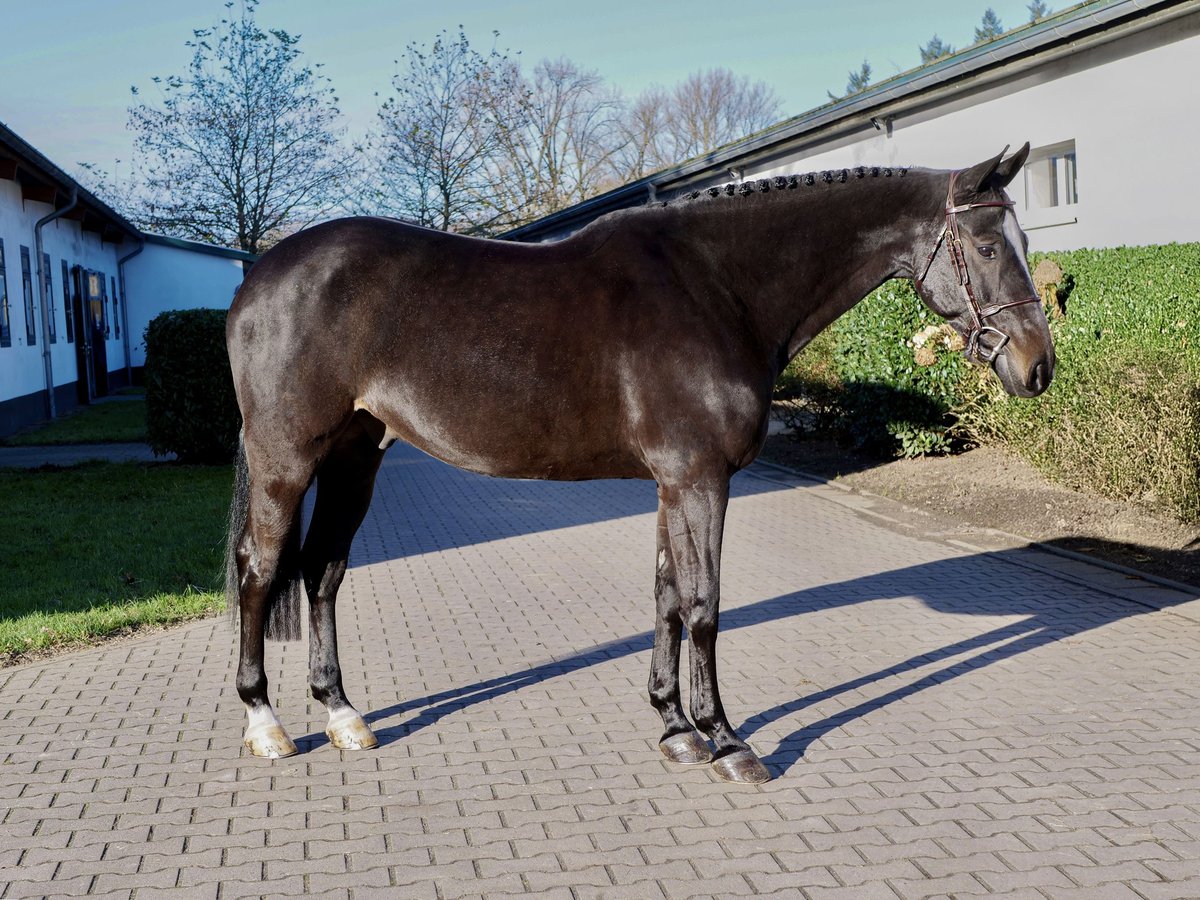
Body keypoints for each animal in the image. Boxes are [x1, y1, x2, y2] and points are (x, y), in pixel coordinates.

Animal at [225, 144, 1054, 783]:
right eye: (988, 247)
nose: (1038, 366)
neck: (717, 286)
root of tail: (259, 278)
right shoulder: (700, 478)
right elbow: (704, 606)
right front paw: (727, 741)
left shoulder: (671, 482)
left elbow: (664, 597)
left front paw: (674, 728)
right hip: (286, 461)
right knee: (260, 573)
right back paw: (266, 724)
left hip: (355, 459)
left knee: (322, 571)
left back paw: (343, 714)